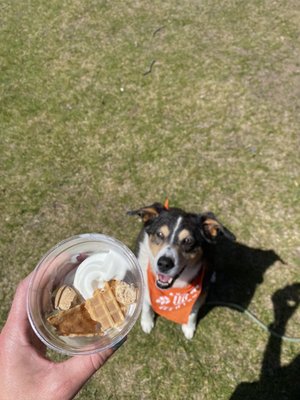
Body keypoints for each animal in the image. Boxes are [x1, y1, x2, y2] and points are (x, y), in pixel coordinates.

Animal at [127, 202, 236, 340]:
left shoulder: (201, 293)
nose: (164, 263)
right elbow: (146, 303)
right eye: (160, 234)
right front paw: (147, 322)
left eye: (188, 241)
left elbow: (193, 312)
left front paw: (189, 328)